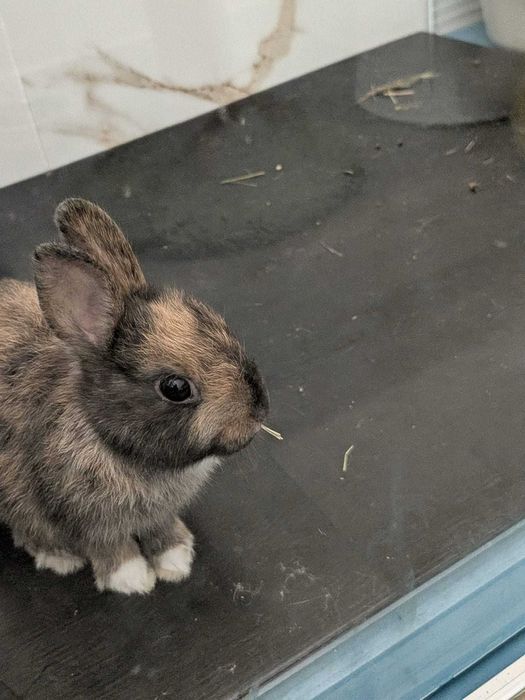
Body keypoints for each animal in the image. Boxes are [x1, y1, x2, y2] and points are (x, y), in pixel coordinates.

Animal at [0, 198, 268, 594]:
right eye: (175, 388)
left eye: (220, 324)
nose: (258, 412)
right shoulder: (85, 518)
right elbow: (109, 548)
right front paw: (133, 580)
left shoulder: (160, 514)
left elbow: (162, 531)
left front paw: (176, 560)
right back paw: (59, 559)